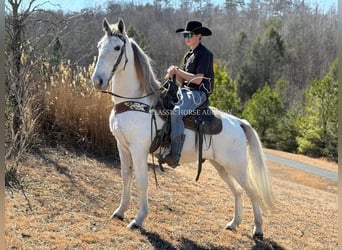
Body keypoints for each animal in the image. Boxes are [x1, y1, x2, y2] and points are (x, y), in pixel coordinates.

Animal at [92, 18, 274, 240]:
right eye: (99, 46)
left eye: (117, 48)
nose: (97, 80)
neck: (137, 101)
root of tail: (239, 123)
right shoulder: (123, 146)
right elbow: (126, 177)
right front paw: (120, 211)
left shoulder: (138, 149)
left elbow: (142, 182)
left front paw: (138, 220)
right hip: (220, 166)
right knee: (238, 191)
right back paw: (234, 223)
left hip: (237, 167)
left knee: (252, 192)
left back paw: (258, 230)